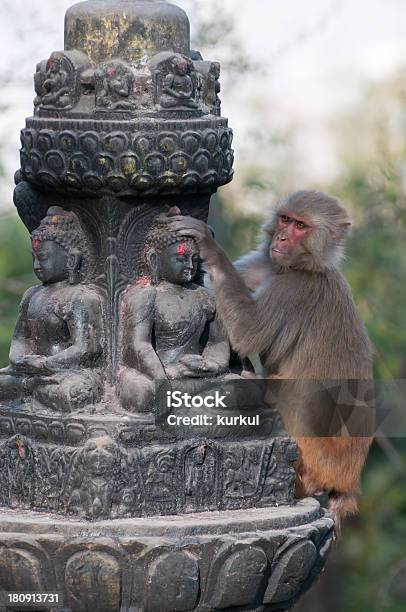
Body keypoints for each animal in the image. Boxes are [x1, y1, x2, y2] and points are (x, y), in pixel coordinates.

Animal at [168, 192, 374, 532]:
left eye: (301, 226)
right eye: (285, 219)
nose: (281, 237)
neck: (304, 266)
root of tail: (347, 481)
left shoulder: (295, 288)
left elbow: (247, 332)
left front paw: (210, 247)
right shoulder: (263, 263)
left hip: (314, 459)